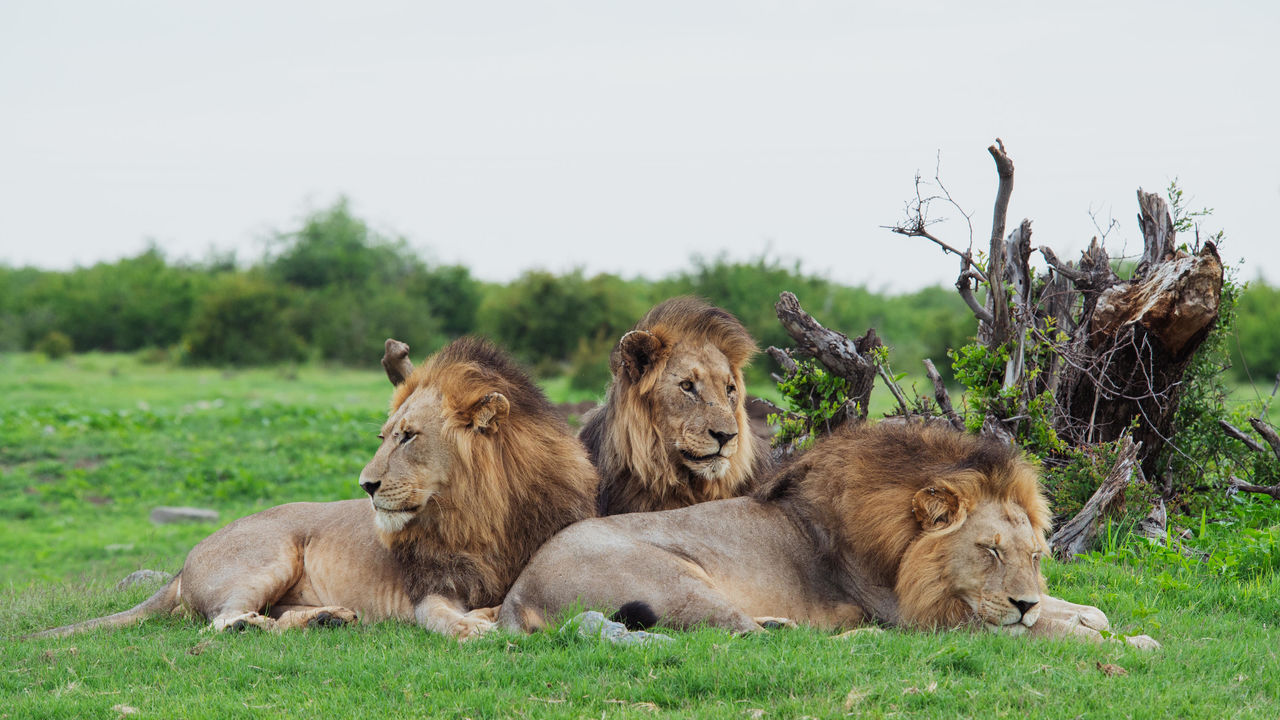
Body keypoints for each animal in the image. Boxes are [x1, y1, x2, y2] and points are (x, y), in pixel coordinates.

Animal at [30, 335, 599, 638]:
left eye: (409, 436)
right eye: (384, 436)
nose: (366, 485)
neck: (481, 513)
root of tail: (182, 565)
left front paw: (489, 614)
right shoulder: (428, 592)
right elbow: (448, 619)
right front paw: (478, 626)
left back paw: (329, 617)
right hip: (268, 554)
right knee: (226, 622)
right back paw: (295, 623)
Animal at [501, 420, 1162, 645]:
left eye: (1034, 556)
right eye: (988, 551)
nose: (1022, 601)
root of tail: (517, 591)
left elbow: (1080, 610)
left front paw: (1093, 620)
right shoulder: (918, 613)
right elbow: (1046, 633)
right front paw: (1128, 643)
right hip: (674, 577)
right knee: (743, 637)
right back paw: (848, 635)